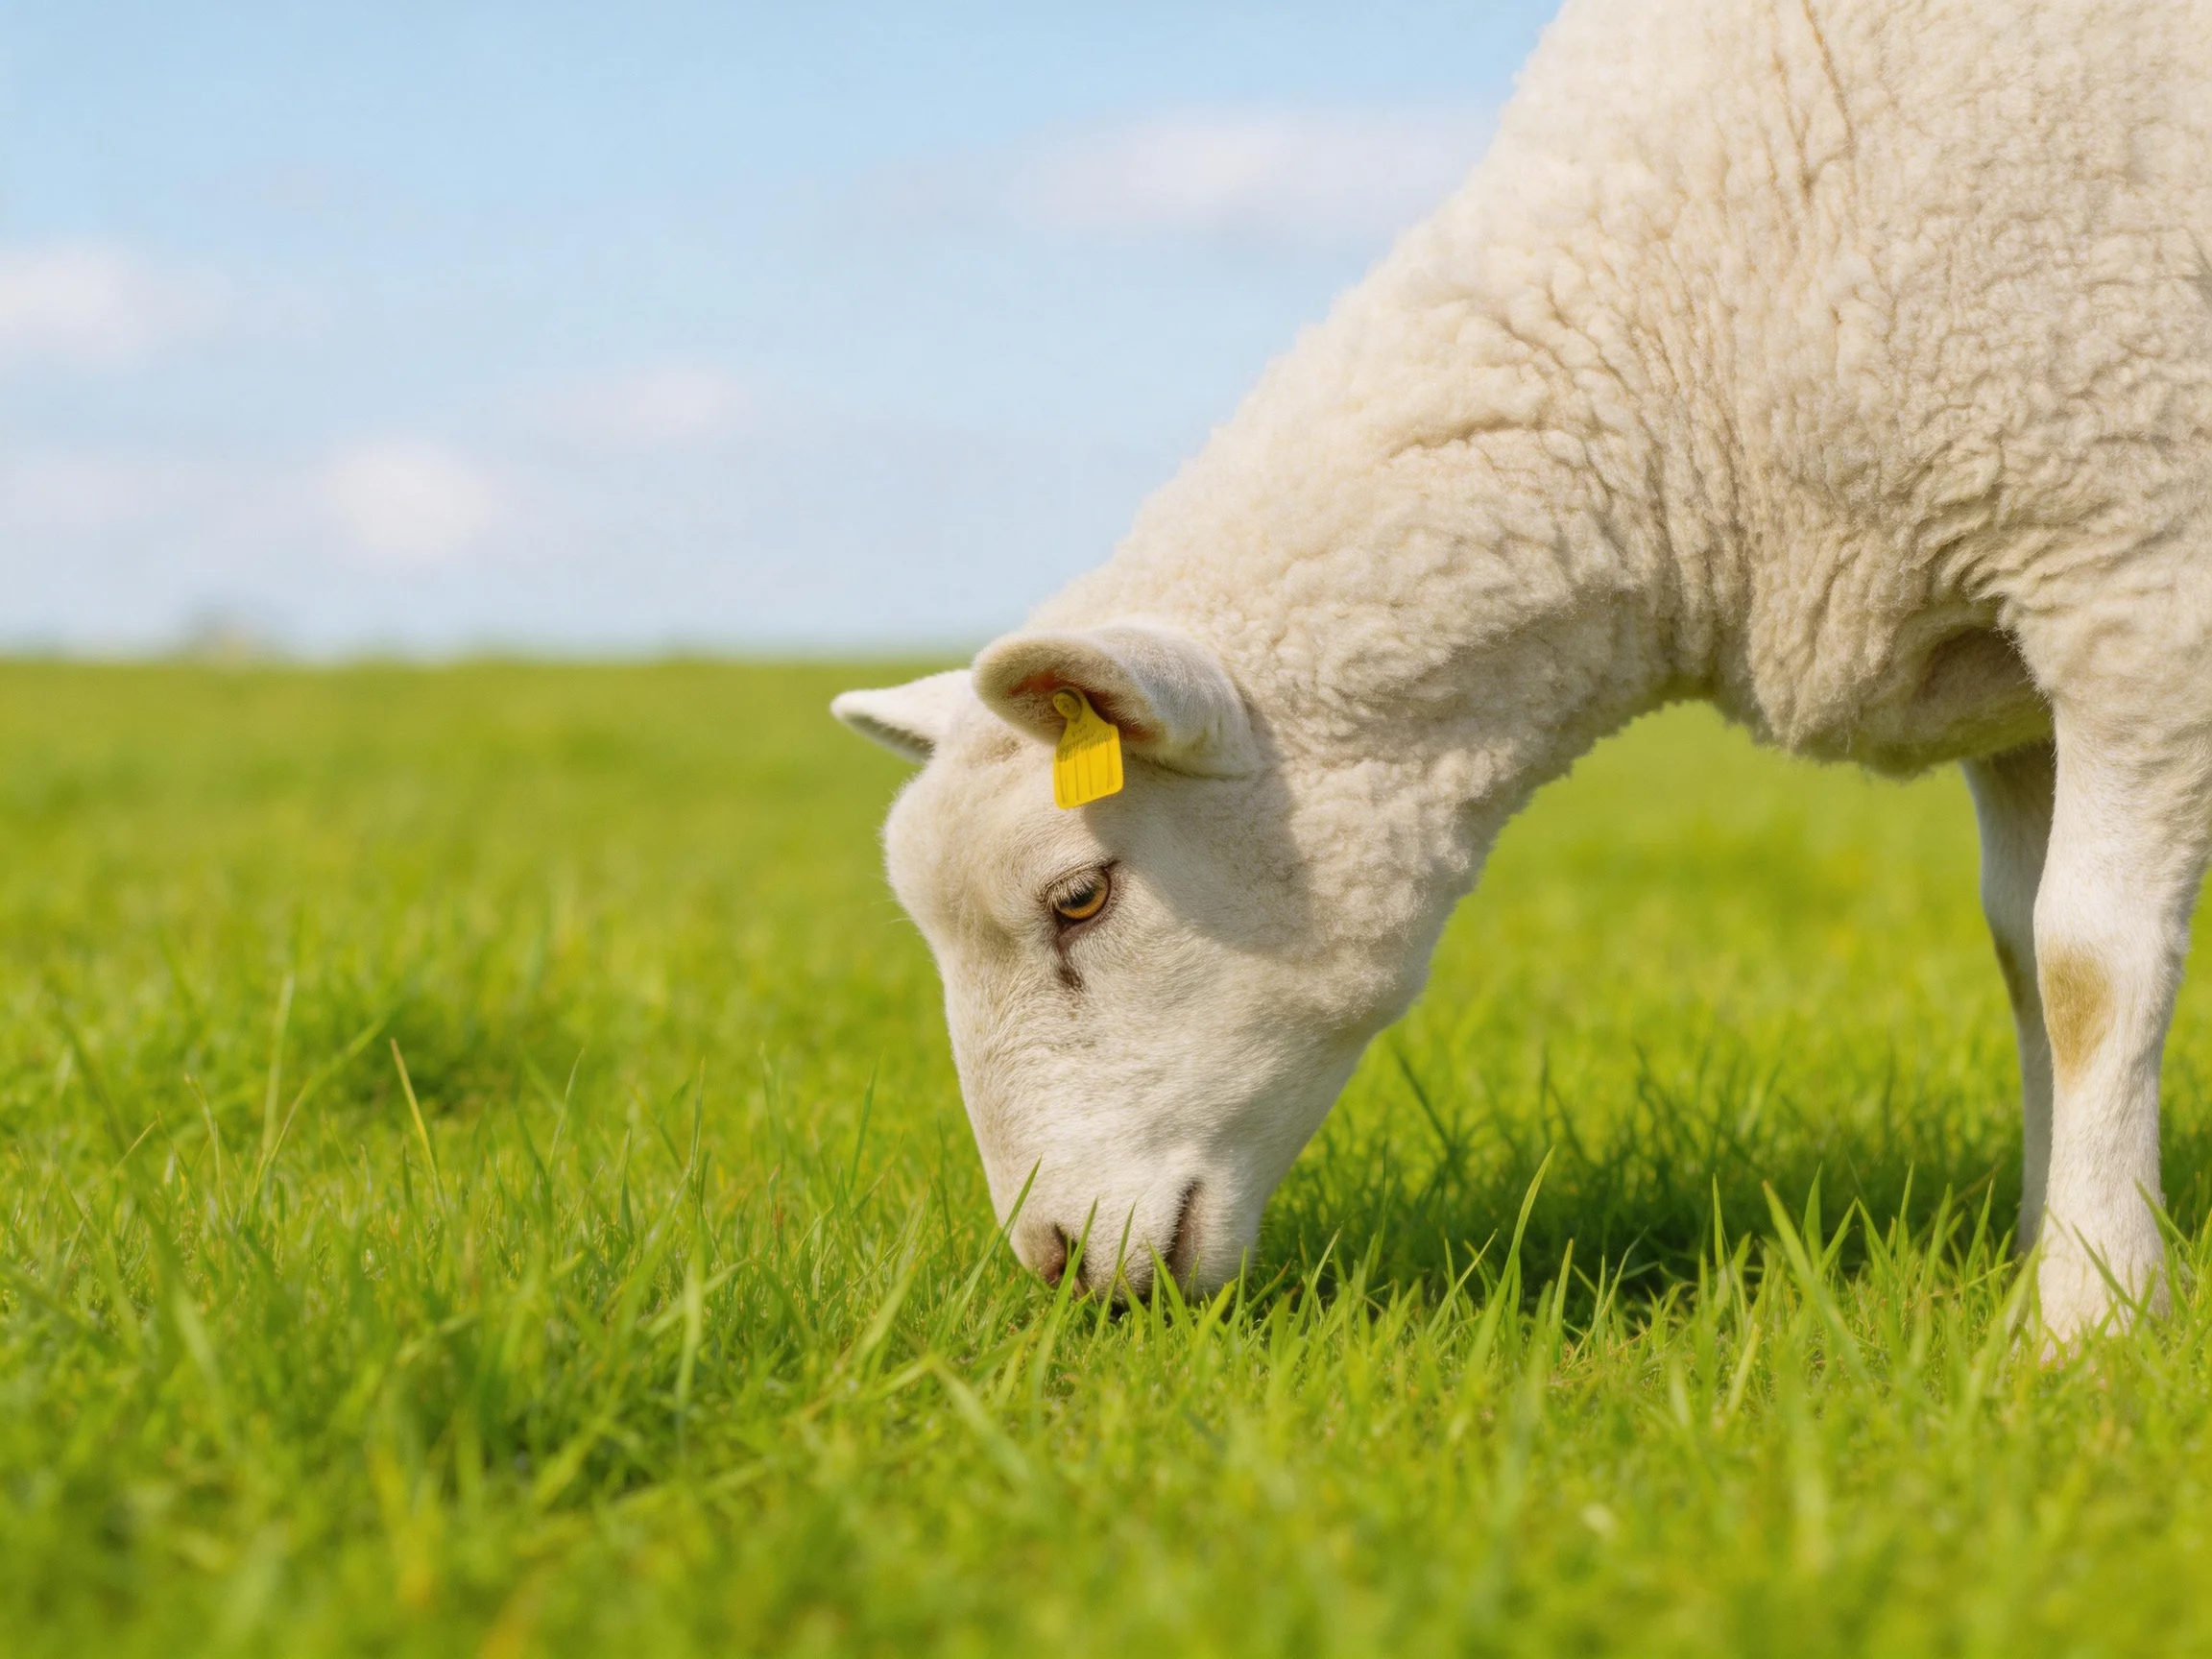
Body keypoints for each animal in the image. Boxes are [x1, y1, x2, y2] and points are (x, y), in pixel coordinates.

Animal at [832, 0, 2212, 1340]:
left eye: (1079, 898)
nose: (1054, 1261)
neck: (1684, 316)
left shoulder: (2128, 569)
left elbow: (2087, 970)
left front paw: (2092, 1317)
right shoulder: (2012, 678)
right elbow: (2021, 958)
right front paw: (2042, 1245)